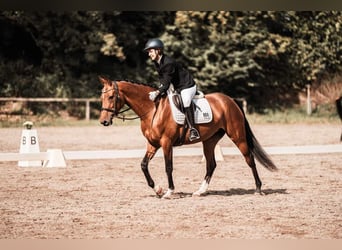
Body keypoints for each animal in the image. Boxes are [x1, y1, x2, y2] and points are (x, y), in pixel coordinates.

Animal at [97, 75, 276, 198]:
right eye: (102, 97)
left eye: (111, 97)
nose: (103, 121)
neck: (152, 110)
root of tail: (230, 100)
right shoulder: (153, 144)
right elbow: (143, 165)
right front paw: (158, 189)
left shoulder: (166, 143)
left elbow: (168, 167)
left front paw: (169, 191)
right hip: (210, 140)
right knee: (211, 164)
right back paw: (200, 191)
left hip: (237, 136)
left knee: (249, 159)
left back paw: (258, 189)